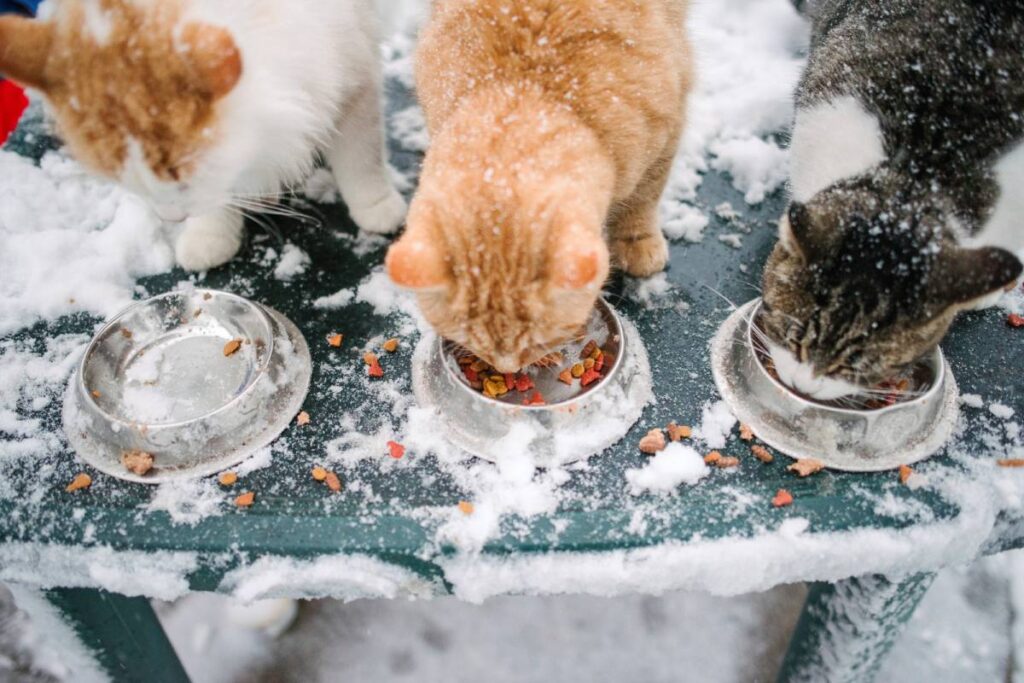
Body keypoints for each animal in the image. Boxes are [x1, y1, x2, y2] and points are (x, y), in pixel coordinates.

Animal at [0, 0, 407, 272]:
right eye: (127, 183)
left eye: (183, 180)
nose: (171, 217)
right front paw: (210, 234)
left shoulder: (355, 72)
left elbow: (362, 159)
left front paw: (376, 206)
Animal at [387, 1, 692, 374]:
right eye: (470, 340)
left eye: (537, 342)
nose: (506, 370)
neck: (525, 82)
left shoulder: (671, 116)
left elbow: (646, 193)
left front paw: (638, 240)